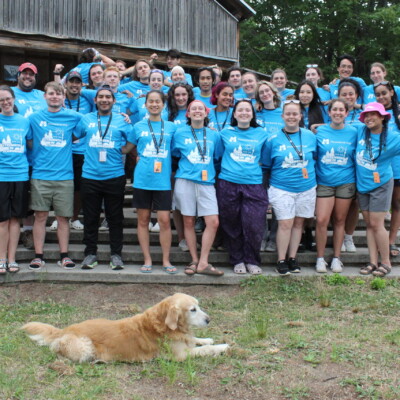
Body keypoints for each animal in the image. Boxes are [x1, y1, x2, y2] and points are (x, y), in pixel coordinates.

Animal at [22, 293, 229, 362]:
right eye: (193, 310)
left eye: (199, 306)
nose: (209, 319)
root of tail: (64, 329)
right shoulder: (180, 356)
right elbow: (206, 349)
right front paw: (223, 346)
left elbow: (195, 340)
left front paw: (207, 339)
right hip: (84, 347)